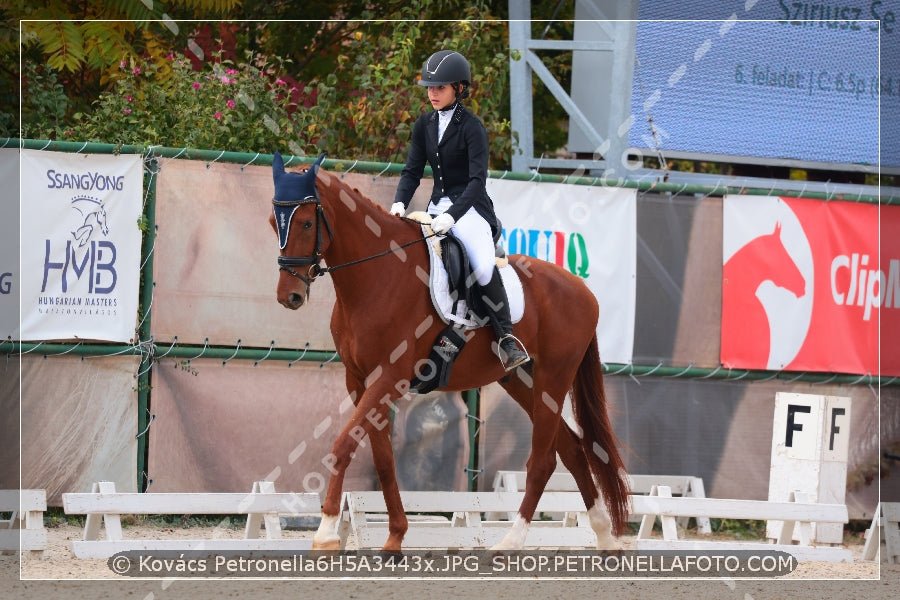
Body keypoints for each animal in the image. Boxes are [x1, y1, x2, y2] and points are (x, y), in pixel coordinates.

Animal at [270, 154, 628, 552]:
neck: (378, 275)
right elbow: (382, 458)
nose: (289, 296)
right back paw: (604, 538)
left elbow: (344, 443)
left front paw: (327, 532)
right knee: (573, 450)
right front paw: (395, 538)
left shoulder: (389, 378)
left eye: (305, 222)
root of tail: (582, 288)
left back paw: (510, 543)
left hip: (554, 376)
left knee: (543, 460)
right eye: (273, 222)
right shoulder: (359, 380)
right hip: (520, 380)